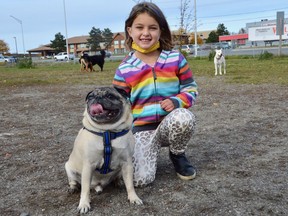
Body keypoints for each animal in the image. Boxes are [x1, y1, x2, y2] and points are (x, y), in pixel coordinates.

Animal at [64, 86, 142, 214]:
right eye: (90, 97)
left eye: (110, 96)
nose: (97, 98)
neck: (107, 131)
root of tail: (98, 186)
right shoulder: (88, 166)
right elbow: (85, 190)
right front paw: (84, 204)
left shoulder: (127, 163)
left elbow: (130, 184)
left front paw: (133, 198)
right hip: (69, 168)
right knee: (75, 182)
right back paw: (73, 188)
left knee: (118, 177)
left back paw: (119, 182)